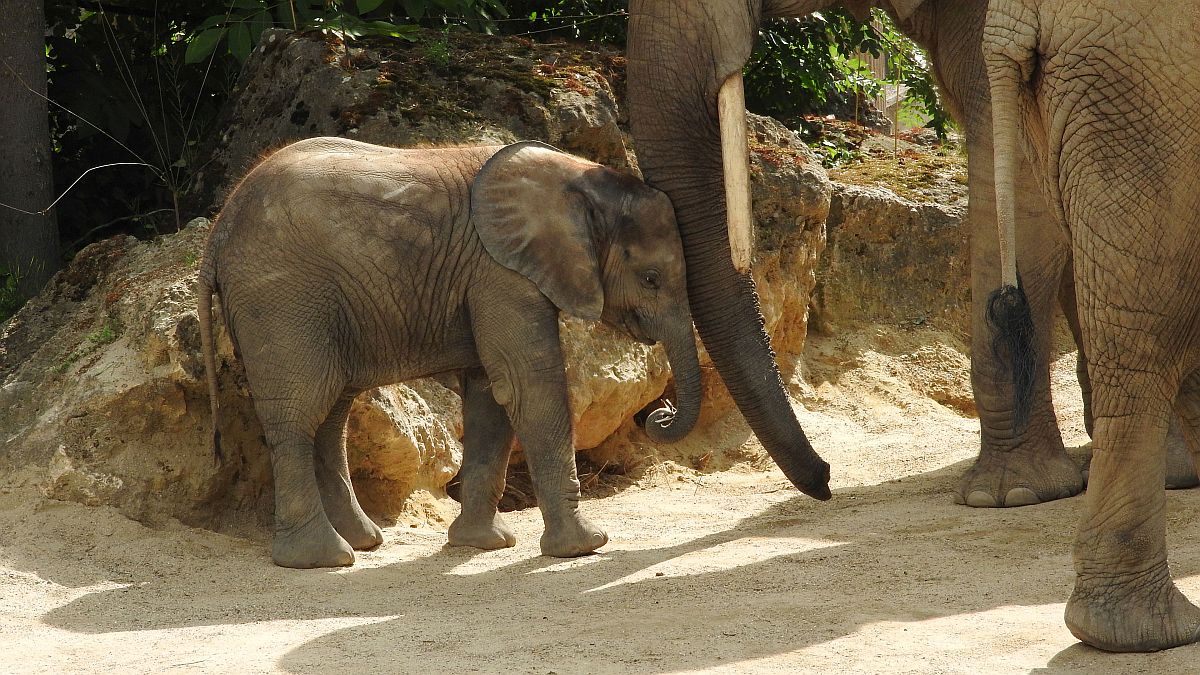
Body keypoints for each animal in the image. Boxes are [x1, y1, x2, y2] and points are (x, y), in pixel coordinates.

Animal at [199, 138, 700, 566]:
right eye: (651, 279)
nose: (659, 414)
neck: (574, 178)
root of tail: (217, 229)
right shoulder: (499, 274)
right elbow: (528, 384)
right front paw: (584, 547)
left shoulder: (488, 279)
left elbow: (492, 395)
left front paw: (484, 544)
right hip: (281, 300)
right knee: (299, 412)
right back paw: (323, 558)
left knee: (331, 414)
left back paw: (362, 542)